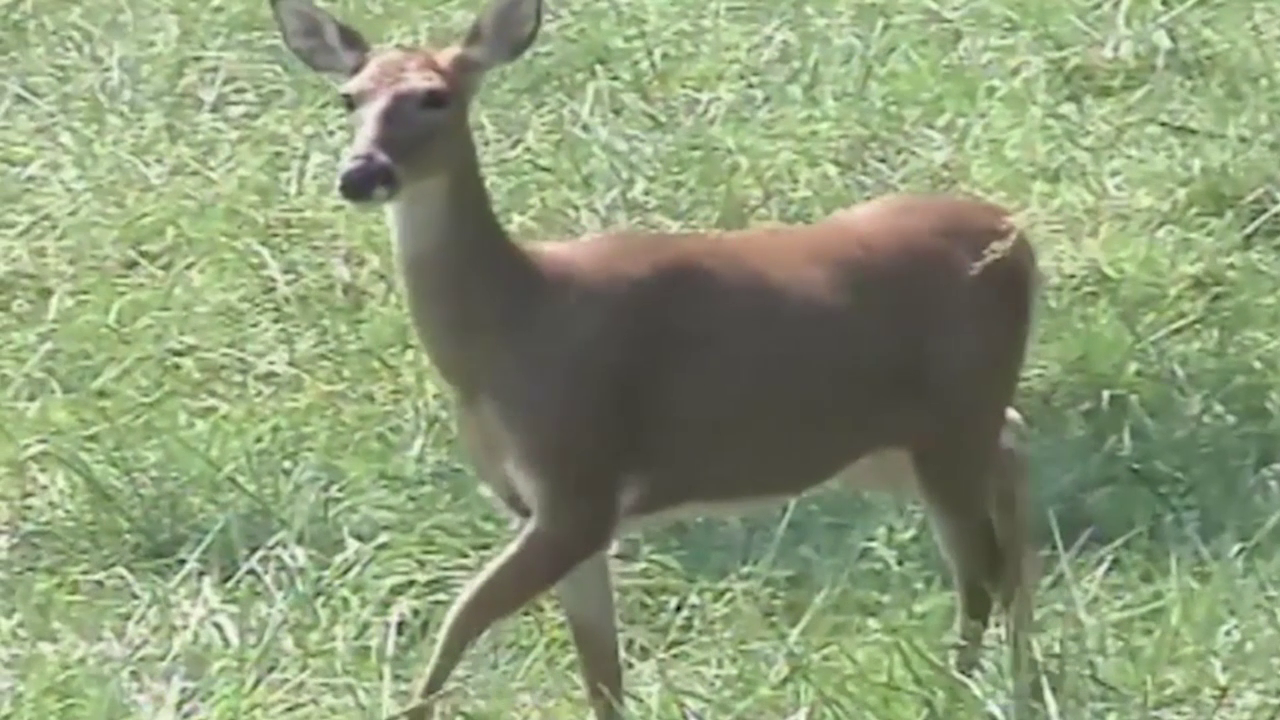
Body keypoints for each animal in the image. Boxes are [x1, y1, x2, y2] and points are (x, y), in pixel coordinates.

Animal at [269, 0, 1041, 717]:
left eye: (435, 96)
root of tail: (1018, 236)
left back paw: (962, 687)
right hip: (889, 443)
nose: (360, 174)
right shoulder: (555, 513)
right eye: (349, 97)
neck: (514, 328)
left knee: (979, 565)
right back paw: (1021, 675)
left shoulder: (579, 487)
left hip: (949, 421)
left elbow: (461, 618)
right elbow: (601, 674)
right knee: (1012, 459)